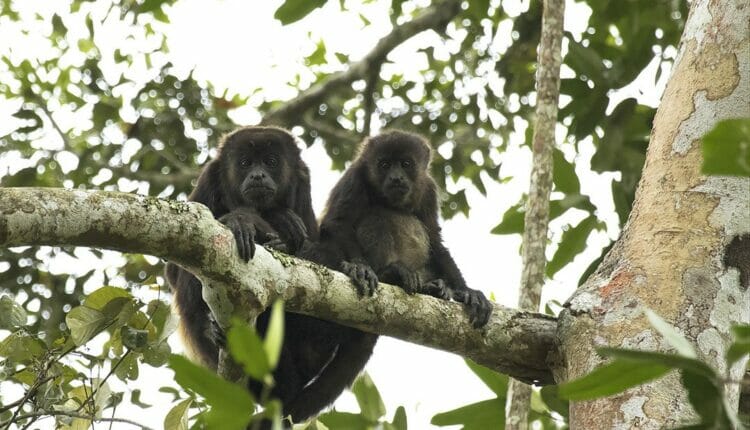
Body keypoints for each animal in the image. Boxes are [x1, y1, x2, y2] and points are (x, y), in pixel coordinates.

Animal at [164, 126, 356, 424]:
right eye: (245, 163)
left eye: (271, 162)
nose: (257, 175)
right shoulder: (209, 179)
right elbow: (174, 271)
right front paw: (241, 219)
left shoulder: (303, 184)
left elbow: (321, 257)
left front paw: (278, 224)